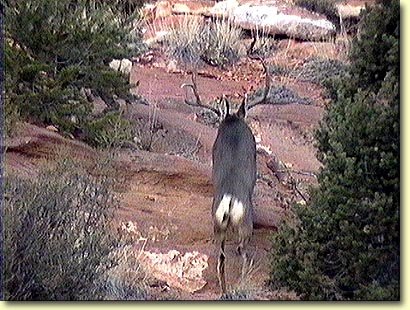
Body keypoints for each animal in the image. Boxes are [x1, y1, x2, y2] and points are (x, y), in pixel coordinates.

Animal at [181, 59, 270, 294]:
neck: (232, 123)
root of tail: (230, 201)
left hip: (217, 225)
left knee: (220, 257)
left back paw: (224, 290)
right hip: (244, 225)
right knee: (242, 253)